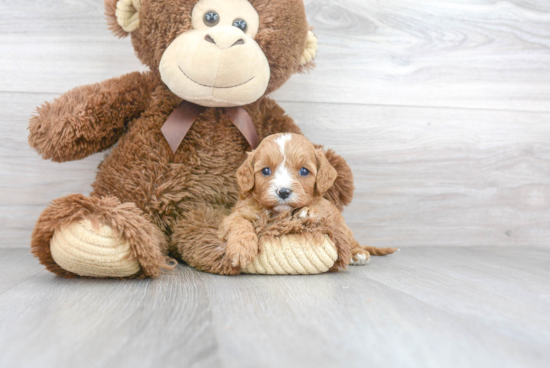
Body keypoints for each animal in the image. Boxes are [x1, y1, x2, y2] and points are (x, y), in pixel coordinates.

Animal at [219, 134, 396, 270]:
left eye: (304, 171)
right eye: (266, 170)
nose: (283, 192)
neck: (280, 213)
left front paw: (307, 212)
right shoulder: (237, 214)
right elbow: (240, 224)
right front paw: (241, 250)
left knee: (348, 238)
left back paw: (357, 253)